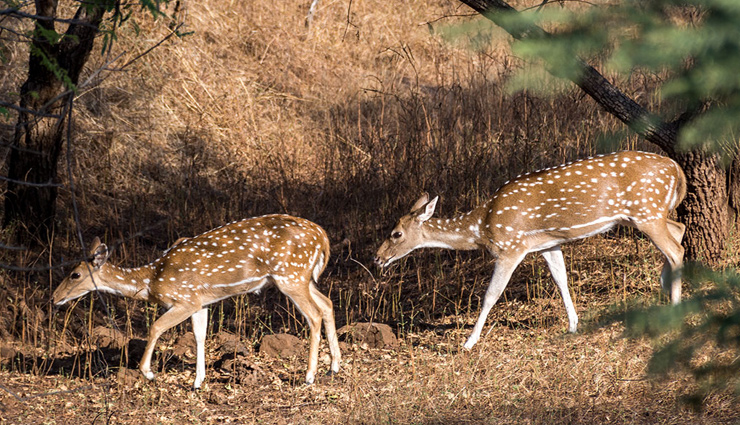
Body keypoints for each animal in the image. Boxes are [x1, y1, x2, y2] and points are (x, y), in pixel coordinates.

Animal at [52, 215, 342, 388]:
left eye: (75, 274)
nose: (54, 298)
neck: (151, 280)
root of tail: (323, 237)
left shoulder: (185, 299)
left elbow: (156, 327)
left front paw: (148, 372)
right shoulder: (200, 302)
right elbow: (199, 335)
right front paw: (198, 381)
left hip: (290, 276)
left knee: (314, 315)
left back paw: (309, 376)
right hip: (303, 277)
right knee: (327, 304)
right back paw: (334, 367)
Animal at [376, 151, 688, 350]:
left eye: (396, 233)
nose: (377, 258)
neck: (482, 227)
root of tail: (677, 168)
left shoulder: (511, 247)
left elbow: (491, 295)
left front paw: (467, 343)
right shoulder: (548, 243)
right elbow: (561, 280)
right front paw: (573, 326)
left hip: (646, 211)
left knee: (676, 249)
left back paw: (674, 306)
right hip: (648, 214)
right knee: (679, 229)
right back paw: (663, 288)